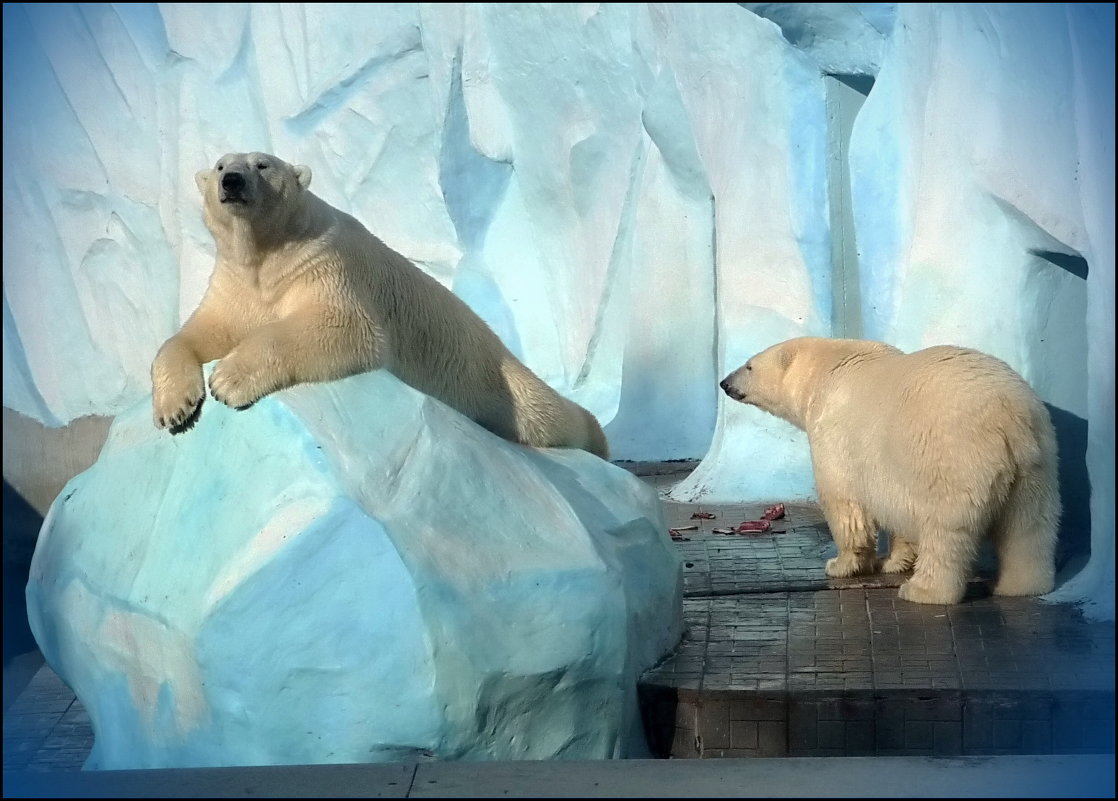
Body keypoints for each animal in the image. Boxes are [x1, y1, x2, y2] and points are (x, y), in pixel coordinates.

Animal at [150, 152, 612, 460]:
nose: (232, 181)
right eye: (219, 164)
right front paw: (174, 408)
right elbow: (196, 334)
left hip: (497, 376)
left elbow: (344, 328)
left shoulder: (321, 263)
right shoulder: (236, 284)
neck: (267, 252)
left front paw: (228, 379)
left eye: (262, 164)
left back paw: (597, 437)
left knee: (545, 413)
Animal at [719, 337, 1059, 608]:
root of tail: (1006, 415)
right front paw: (894, 561)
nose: (724, 383)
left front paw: (841, 564)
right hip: (1036, 463)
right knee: (1029, 526)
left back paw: (924, 590)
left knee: (947, 528)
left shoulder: (837, 437)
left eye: (749, 366)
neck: (825, 371)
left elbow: (845, 504)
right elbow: (899, 508)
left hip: (955, 457)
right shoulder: (891, 467)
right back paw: (1021, 585)